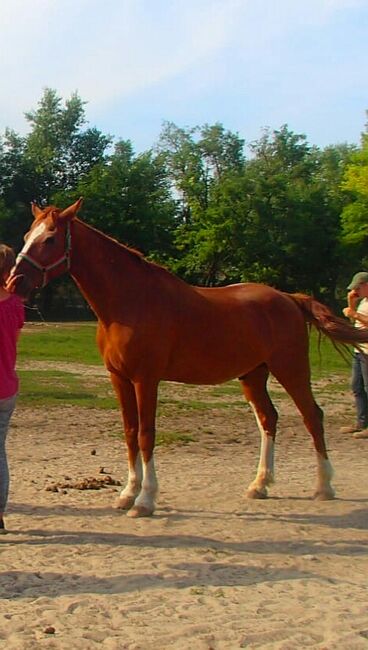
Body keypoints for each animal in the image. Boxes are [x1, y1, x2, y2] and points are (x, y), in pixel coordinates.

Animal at [7, 200, 368, 512]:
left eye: (50, 239)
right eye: (26, 237)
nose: (14, 282)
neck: (129, 302)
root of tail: (289, 298)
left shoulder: (146, 379)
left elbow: (146, 434)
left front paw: (145, 500)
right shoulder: (119, 378)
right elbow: (129, 432)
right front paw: (127, 493)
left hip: (291, 369)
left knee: (312, 417)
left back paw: (324, 487)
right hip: (253, 375)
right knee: (269, 419)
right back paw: (260, 485)